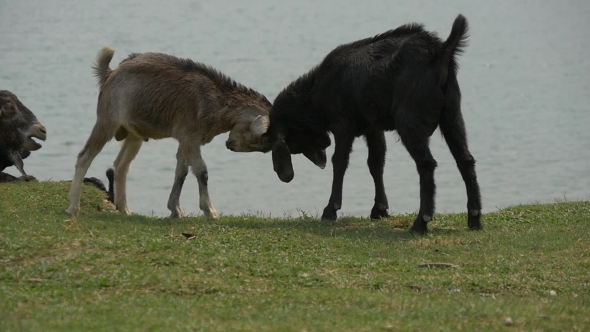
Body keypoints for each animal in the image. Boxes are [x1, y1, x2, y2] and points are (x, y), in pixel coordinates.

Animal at [266, 14, 484, 233]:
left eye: (292, 143)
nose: (320, 157)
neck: (315, 93)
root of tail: (442, 52)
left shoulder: (343, 125)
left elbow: (340, 161)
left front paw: (331, 209)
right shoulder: (373, 128)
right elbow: (376, 162)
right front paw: (379, 209)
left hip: (409, 120)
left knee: (426, 164)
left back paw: (421, 221)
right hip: (452, 114)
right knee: (465, 159)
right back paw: (474, 218)